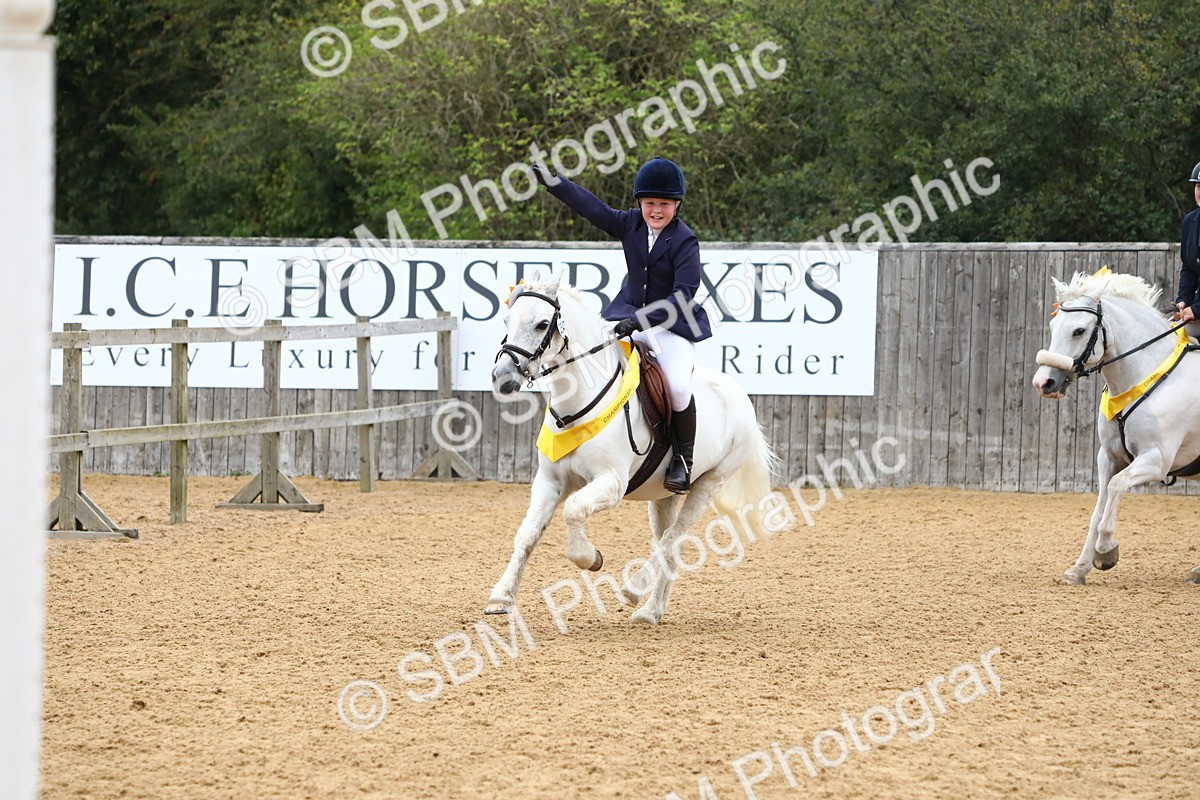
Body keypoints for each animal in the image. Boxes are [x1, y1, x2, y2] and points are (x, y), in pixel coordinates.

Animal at [485, 273, 781, 624]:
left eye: (542, 324)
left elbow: (573, 510)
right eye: (507, 320)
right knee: (668, 541)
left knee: (673, 537)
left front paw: (590, 558)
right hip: (665, 494)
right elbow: (527, 535)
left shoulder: (612, 483)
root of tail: (740, 395)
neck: (576, 407)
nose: (503, 378)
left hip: (709, 483)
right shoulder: (549, 482)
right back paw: (651, 611)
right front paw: (501, 597)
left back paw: (633, 590)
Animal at [1031, 267, 1200, 586]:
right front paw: (1078, 569)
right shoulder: (1109, 456)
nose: (1043, 382)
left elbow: (1116, 486)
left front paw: (1106, 551)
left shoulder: (1156, 460)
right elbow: (1098, 509)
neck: (1145, 376)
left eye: (1079, 331)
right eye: (1053, 325)